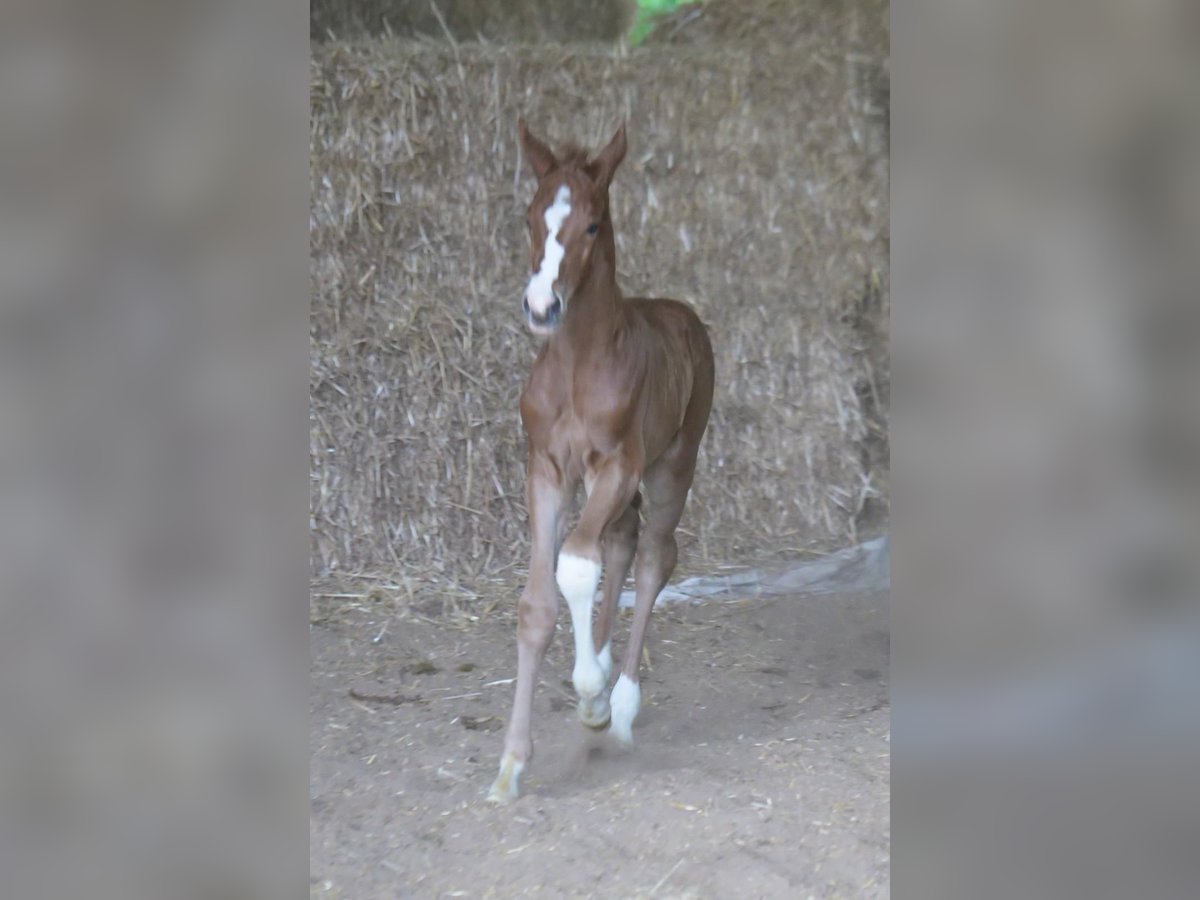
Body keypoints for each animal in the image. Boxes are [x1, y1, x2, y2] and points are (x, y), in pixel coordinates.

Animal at [487, 120, 710, 801]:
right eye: (530, 216)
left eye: (591, 225)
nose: (541, 308)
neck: (577, 365)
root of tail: (683, 314)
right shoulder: (546, 471)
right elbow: (538, 603)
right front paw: (511, 764)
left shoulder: (619, 464)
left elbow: (577, 565)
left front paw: (592, 699)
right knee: (622, 539)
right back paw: (607, 663)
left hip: (672, 467)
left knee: (654, 554)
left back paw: (623, 704)